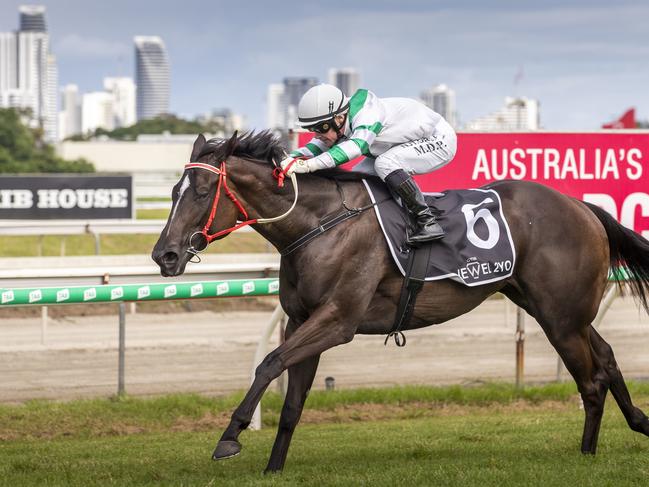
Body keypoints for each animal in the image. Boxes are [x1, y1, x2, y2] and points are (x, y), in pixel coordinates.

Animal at [151, 132, 648, 472]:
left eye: (200, 193)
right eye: (172, 192)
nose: (164, 255)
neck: (319, 223)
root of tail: (581, 206)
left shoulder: (337, 320)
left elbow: (269, 363)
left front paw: (229, 437)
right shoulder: (301, 320)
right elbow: (292, 401)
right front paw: (273, 468)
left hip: (561, 318)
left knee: (592, 380)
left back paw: (587, 454)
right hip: (550, 308)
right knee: (606, 357)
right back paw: (637, 423)